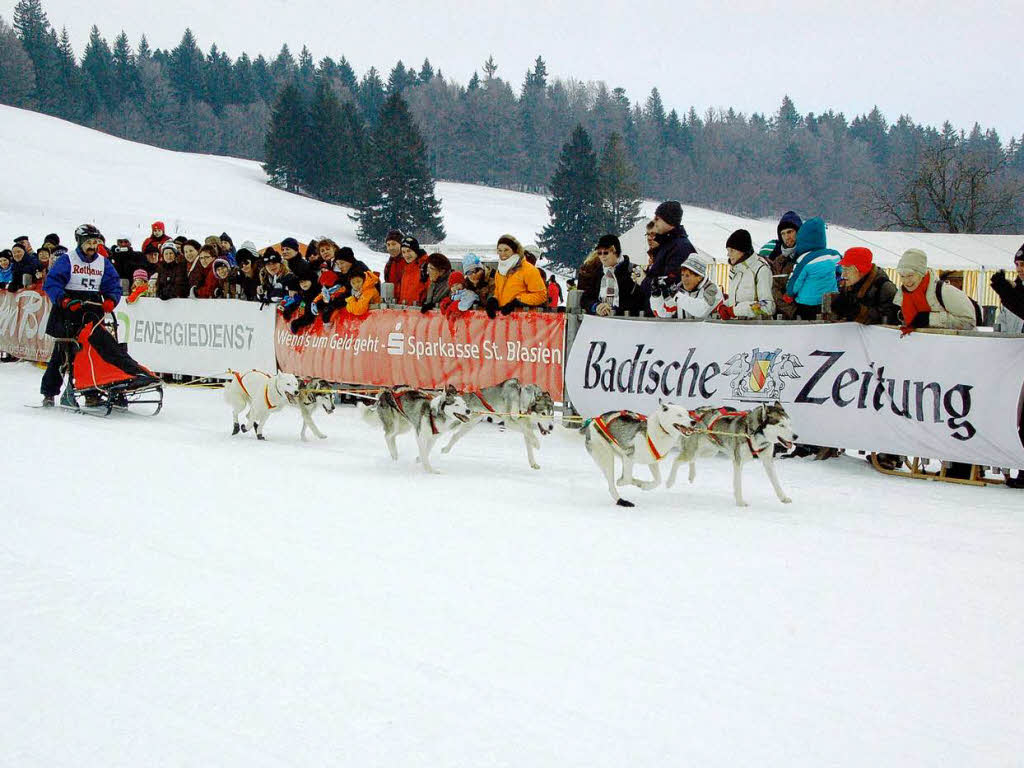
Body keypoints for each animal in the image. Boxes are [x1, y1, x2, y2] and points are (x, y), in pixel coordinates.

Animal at [663, 399, 798, 507]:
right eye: (781, 425)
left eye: (790, 424)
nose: (795, 436)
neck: (753, 432)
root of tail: (694, 415)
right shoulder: (738, 461)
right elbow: (738, 484)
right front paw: (740, 502)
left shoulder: (768, 461)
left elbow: (776, 482)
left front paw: (783, 497)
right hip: (694, 450)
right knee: (677, 460)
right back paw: (670, 482)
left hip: (709, 451)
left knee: (692, 460)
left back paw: (691, 475)